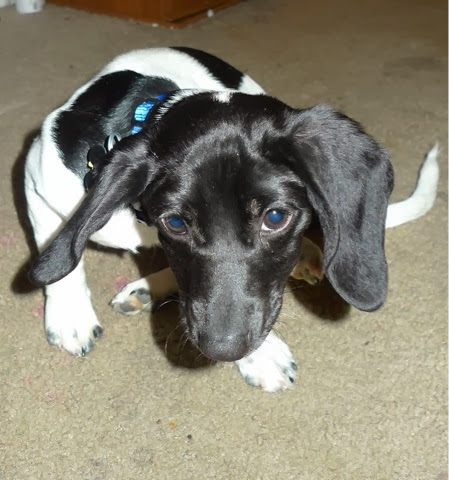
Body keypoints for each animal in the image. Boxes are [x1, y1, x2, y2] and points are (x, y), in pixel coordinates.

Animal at [25, 47, 439, 392]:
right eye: (175, 223)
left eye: (276, 217)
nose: (222, 348)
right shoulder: (38, 178)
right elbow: (62, 260)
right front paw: (69, 314)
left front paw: (260, 354)